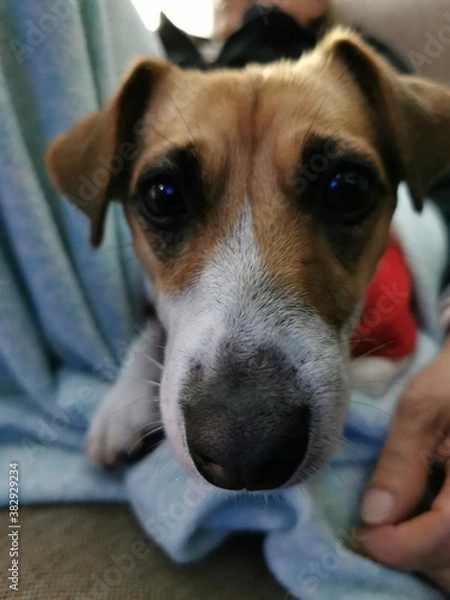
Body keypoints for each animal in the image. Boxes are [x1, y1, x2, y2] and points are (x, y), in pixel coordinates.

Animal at [45, 25, 450, 490]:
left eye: (348, 188)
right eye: (163, 195)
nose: (243, 451)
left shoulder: (393, 348)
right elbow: (154, 327)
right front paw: (122, 403)